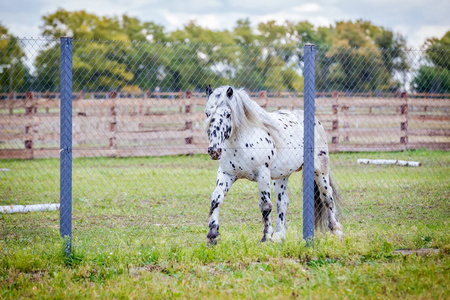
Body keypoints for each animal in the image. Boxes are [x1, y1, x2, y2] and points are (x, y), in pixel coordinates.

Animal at [205, 84, 344, 244]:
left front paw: (266, 236)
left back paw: (336, 231)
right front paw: (212, 235)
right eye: (207, 113)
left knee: (327, 198)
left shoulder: (262, 175)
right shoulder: (226, 174)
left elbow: (265, 205)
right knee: (282, 203)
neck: (241, 142)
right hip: (281, 177)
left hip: (320, 171)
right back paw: (279, 235)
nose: (214, 150)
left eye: (228, 114)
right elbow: (216, 200)